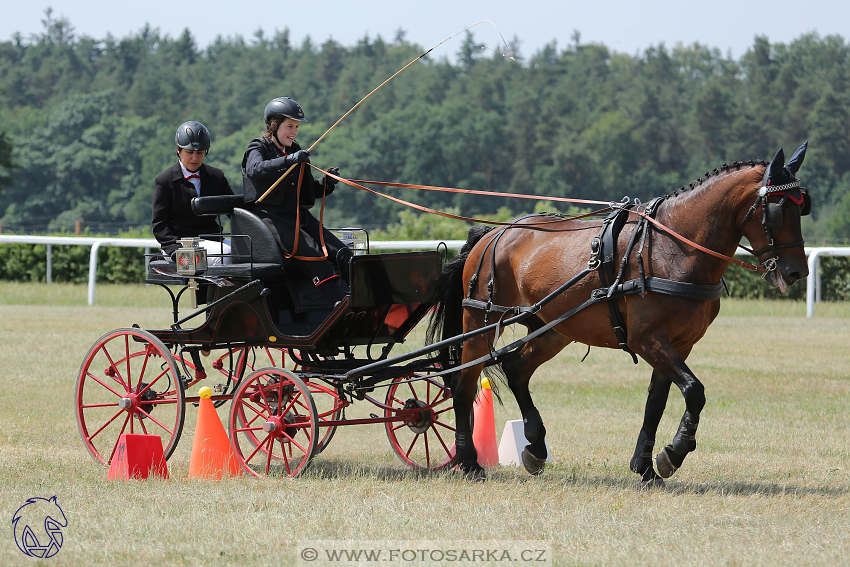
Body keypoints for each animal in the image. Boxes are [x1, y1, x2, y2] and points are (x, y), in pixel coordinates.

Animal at [428, 143, 812, 484]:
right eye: (777, 209)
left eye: (803, 207)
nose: (796, 272)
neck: (673, 248)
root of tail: (492, 233)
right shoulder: (648, 339)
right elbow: (694, 390)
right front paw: (674, 452)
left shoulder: (679, 344)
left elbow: (657, 402)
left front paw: (646, 466)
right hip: (481, 322)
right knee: (464, 384)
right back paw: (469, 462)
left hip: (553, 328)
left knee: (516, 368)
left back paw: (535, 447)